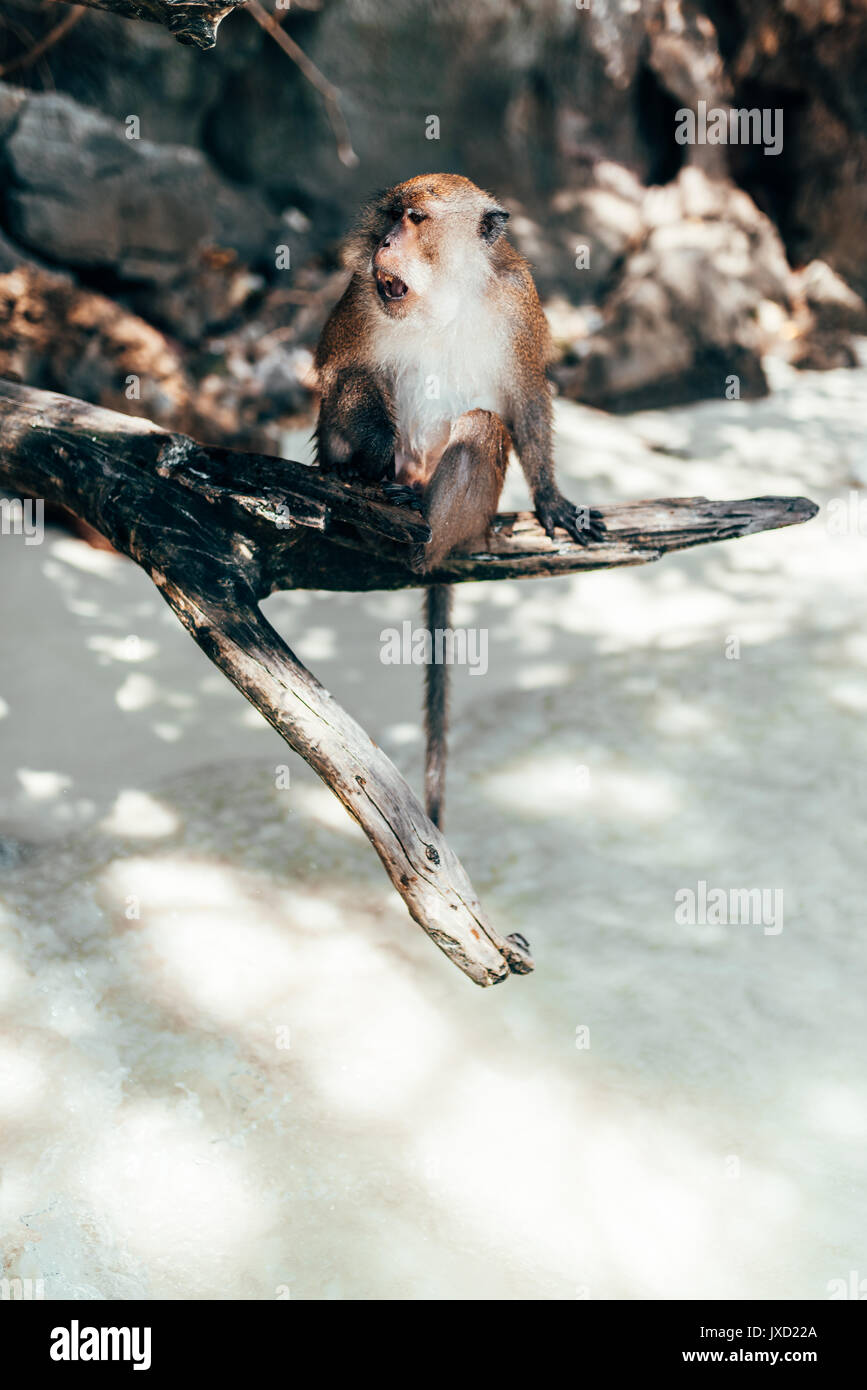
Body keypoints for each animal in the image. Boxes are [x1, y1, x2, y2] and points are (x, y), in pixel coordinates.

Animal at [311, 172, 603, 822]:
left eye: (416, 219)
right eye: (390, 216)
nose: (385, 243)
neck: (442, 298)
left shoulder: (519, 301)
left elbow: (525, 398)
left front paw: (553, 498)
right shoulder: (362, 296)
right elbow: (338, 372)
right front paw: (360, 461)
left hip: (465, 510)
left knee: (481, 426)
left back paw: (422, 536)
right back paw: (366, 480)